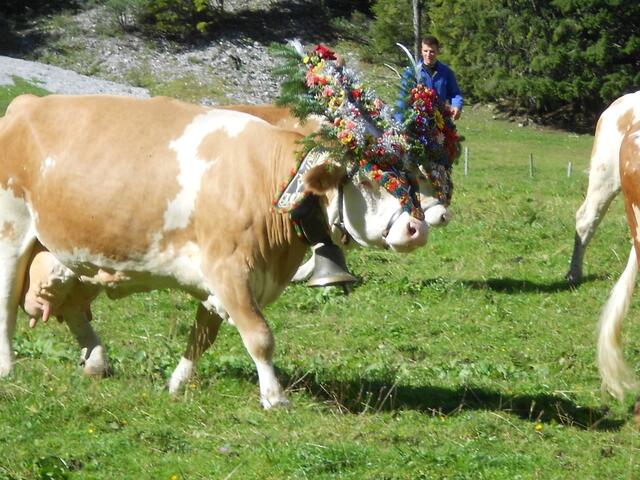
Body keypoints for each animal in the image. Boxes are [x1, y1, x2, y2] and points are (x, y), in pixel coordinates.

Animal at [0, 93, 433, 408]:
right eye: (369, 180)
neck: (267, 182)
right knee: (6, 305)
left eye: (409, 176)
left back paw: (96, 362)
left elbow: (201, 336)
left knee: (73, 305)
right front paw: (274, 398)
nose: (417, 229)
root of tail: (25, 103)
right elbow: (259, 336)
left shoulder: (217, 280)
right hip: (12, 233)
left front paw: (176, 383)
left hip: (73, 253)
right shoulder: (228, 269)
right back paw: (8, 369)